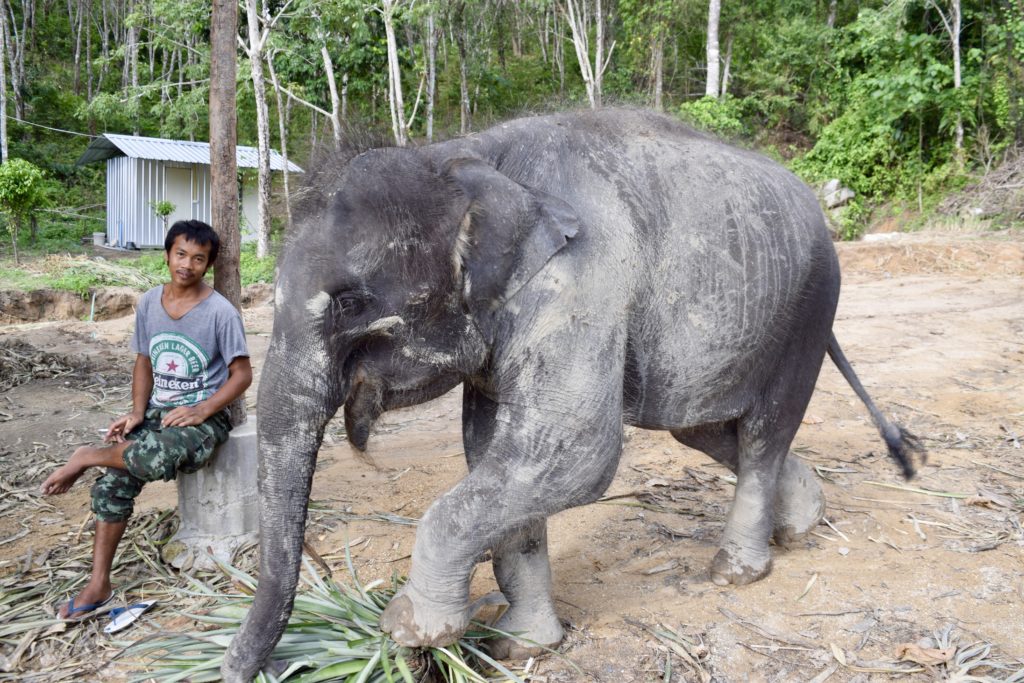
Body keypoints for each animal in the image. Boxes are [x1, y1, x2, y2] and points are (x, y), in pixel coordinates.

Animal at [222, 108, 922, 680]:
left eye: (350, 303)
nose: (236, 668)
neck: (463, 155)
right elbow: (493, 452)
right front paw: (521, 646)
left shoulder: (579, 284)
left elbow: (573, 451)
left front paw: (410, 631)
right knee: (703, 427)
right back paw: (803, 521)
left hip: (810, 306)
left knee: (763, 429)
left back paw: (737, 571)